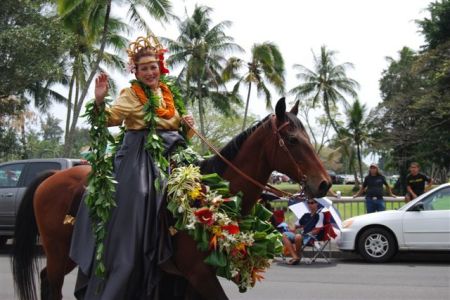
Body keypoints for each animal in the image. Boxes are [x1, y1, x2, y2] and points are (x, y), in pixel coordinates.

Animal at [10, 98, 330, 300]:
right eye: (292, 140)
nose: (324, 183)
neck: (212, 194)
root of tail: (52, 176)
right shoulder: (198, 273)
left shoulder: (191, 278)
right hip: (58, 250)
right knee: (51, 284)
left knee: (46, 279)